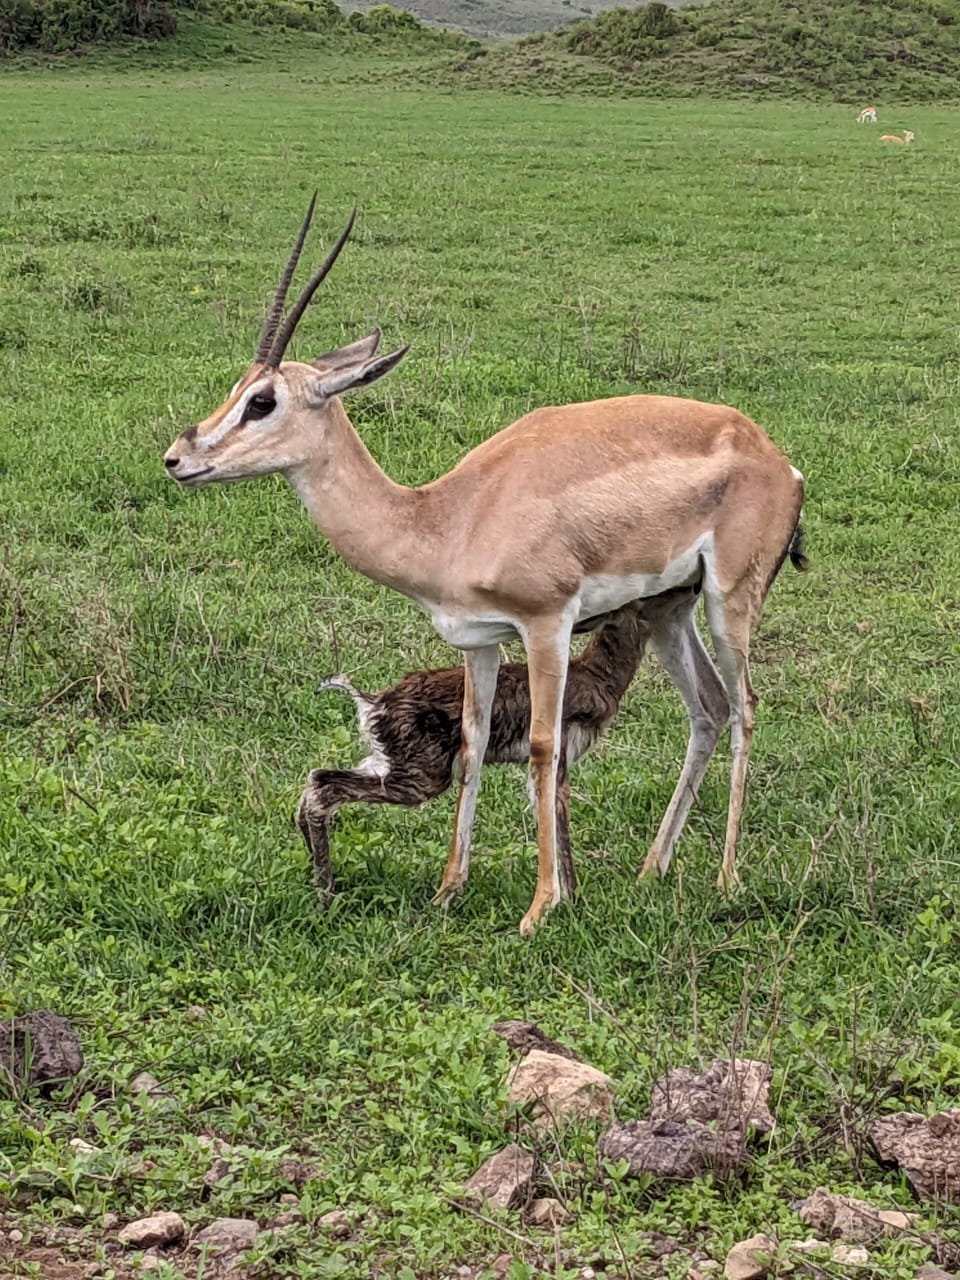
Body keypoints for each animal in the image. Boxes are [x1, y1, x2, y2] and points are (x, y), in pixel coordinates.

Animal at [298, 582, 704, 900]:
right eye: (648, 595)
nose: (692, 587)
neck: (596, 679)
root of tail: (370, 701)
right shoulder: (561, 755)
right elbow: (559, 821)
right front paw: (573, 898)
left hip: (385, 760)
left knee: (316, 779)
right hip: (420, 775)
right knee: (324, 789)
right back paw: (326, 891)